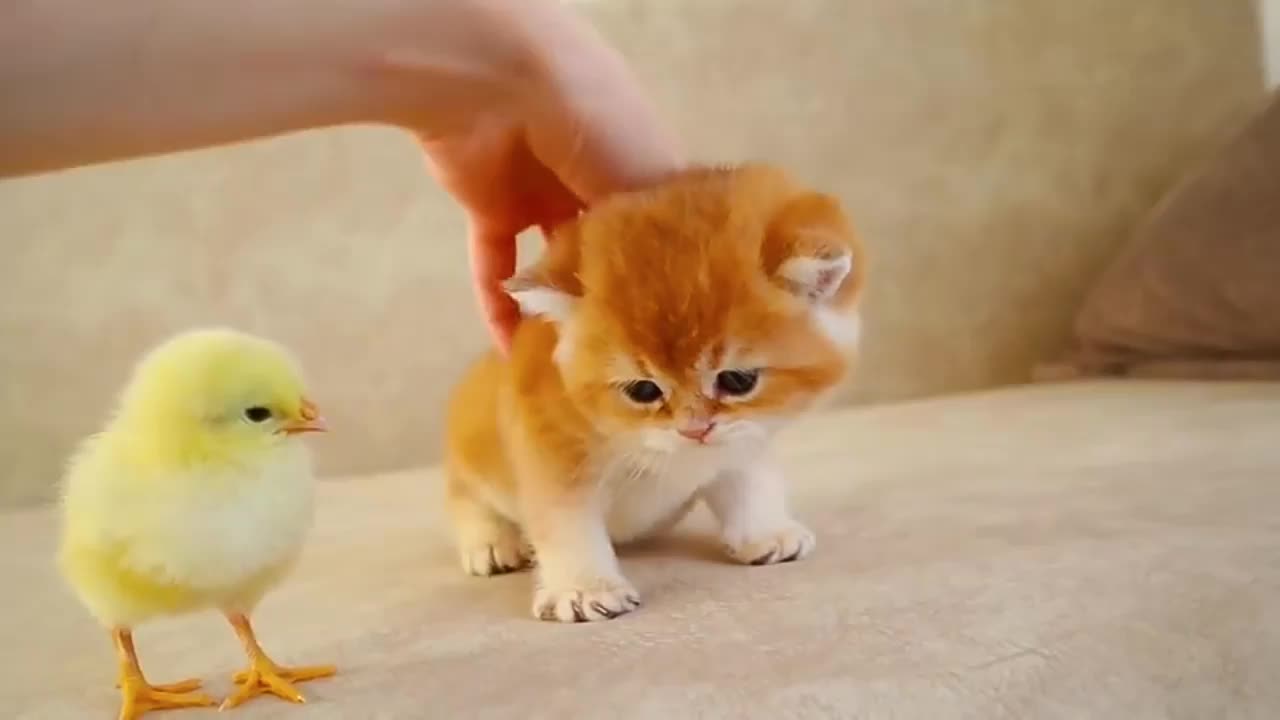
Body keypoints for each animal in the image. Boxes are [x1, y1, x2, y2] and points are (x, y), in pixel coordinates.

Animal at [442, 163, 870, 622]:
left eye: (737, 380)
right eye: (643, 390)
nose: (694, 430)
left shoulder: (744, 433)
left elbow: (746, 477)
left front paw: (764, 532)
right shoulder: (549, 445)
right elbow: (564, 521)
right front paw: (583, 588)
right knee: (464, 492)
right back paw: (490, 541)